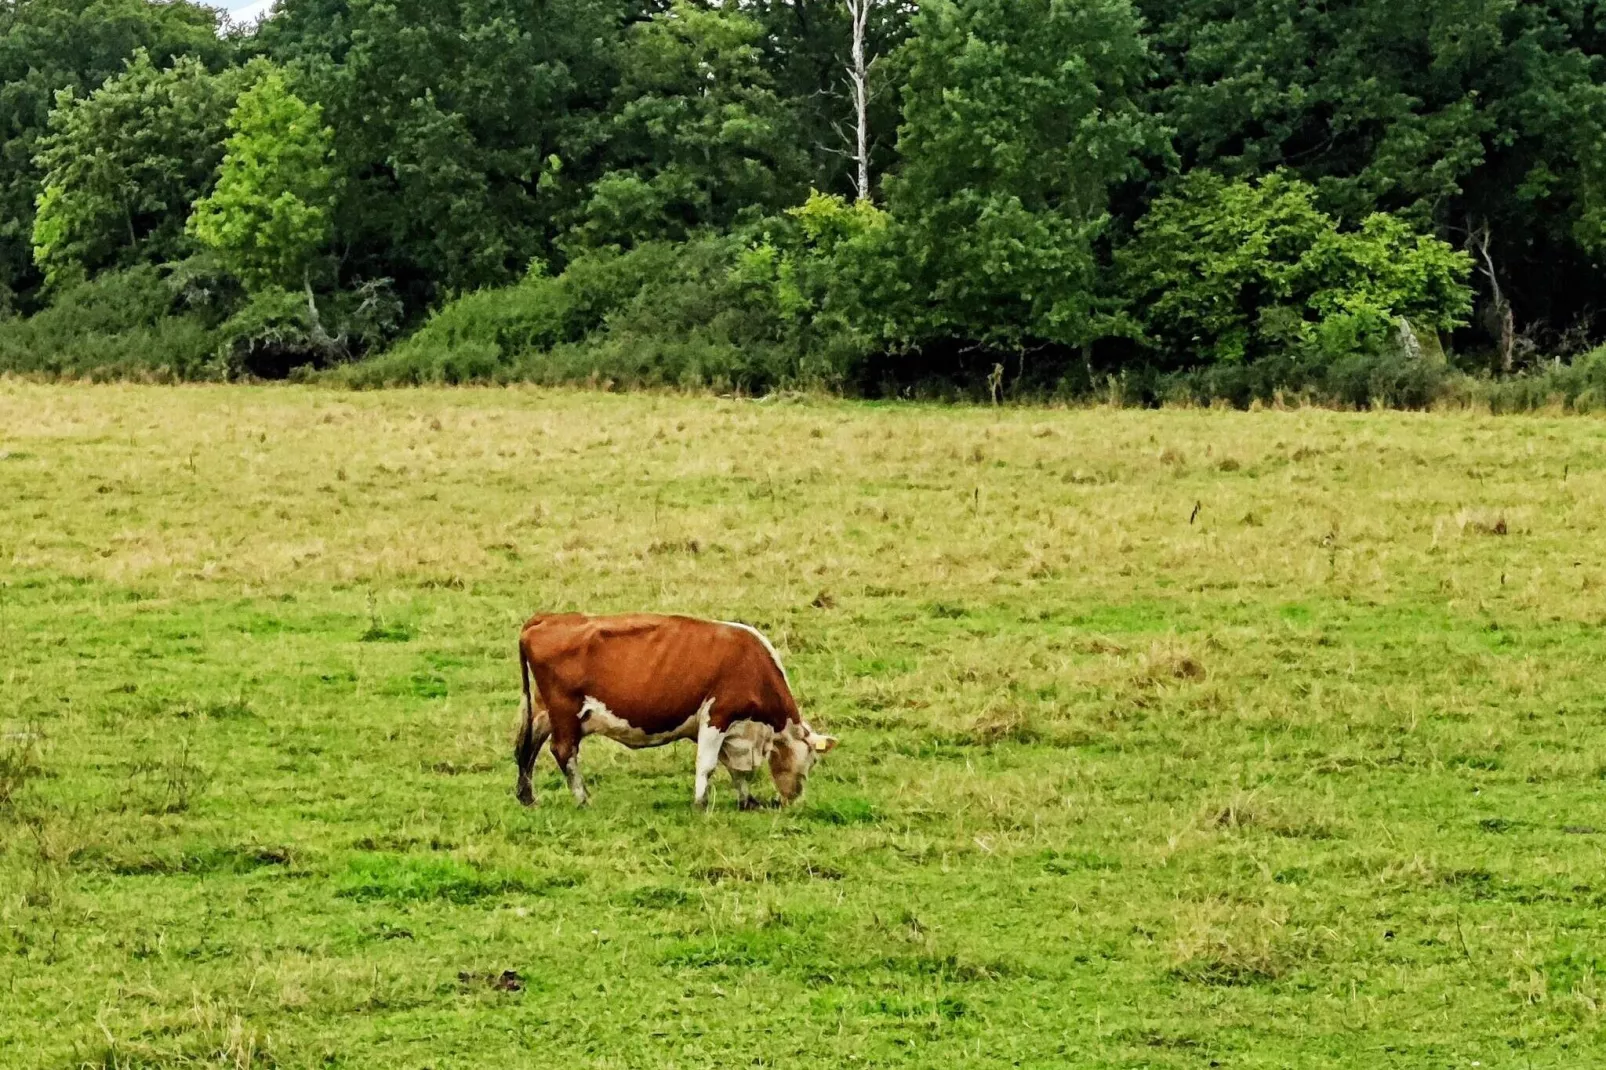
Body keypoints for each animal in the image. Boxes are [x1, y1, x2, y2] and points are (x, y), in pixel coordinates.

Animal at [513, 613, 841, 803]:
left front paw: (747, 801)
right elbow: (707, 764)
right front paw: (700, 803)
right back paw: (582, 798)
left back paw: (527, 796)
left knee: (526, 747)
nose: (794, 799)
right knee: (562, 751)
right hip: (565, 711)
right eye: (812, 760)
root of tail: (547, 618)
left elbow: (736, 770)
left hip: (543, 709)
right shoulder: (717, 716)